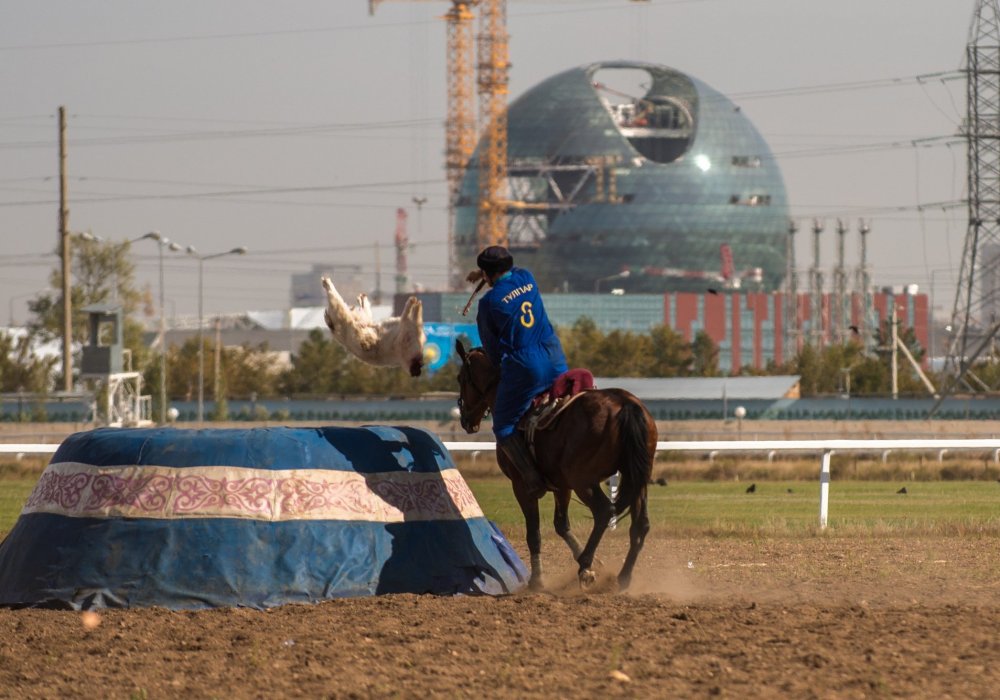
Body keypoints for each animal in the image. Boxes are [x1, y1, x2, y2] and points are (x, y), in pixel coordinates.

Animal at [454, 342, 656, 592]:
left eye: (460, 378)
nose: (465, 420)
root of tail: (625, 404)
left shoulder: (522, 487)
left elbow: (534, 534)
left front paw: (537, 580)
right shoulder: (562, 487)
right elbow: (561, 526)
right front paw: (592, 565)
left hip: (584, 481)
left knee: (603, 511)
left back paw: (584, 565)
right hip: (636, 479)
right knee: (640, 526)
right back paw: (622, 577)